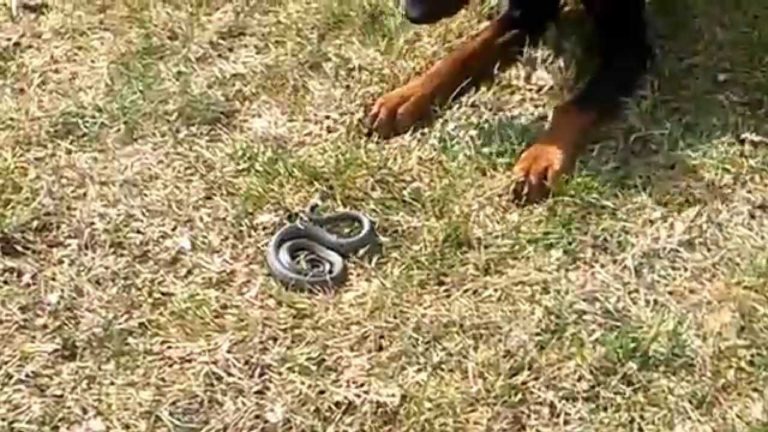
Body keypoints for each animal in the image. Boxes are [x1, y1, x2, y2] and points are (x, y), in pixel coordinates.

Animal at [364, 0, 652, 204]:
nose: (412, 14)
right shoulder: (528, 11)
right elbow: (467, 50)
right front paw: (410, 94)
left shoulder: (630, 46)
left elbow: (570, 107)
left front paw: (542, 157)